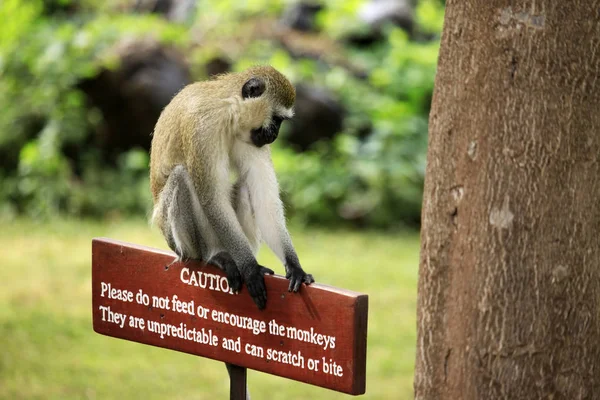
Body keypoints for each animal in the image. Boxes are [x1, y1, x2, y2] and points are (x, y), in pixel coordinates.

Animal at [149, 66, 314, 310]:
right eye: (277, 119)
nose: (274, 135)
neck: (229, 112)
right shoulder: (203, 129)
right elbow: (212, 198)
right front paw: (250, 268)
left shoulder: (252, 140)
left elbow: (265, 203)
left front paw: (294, 266)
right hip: (178, 242)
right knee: (181, 178)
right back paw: (216, 256)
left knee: (246, 189)